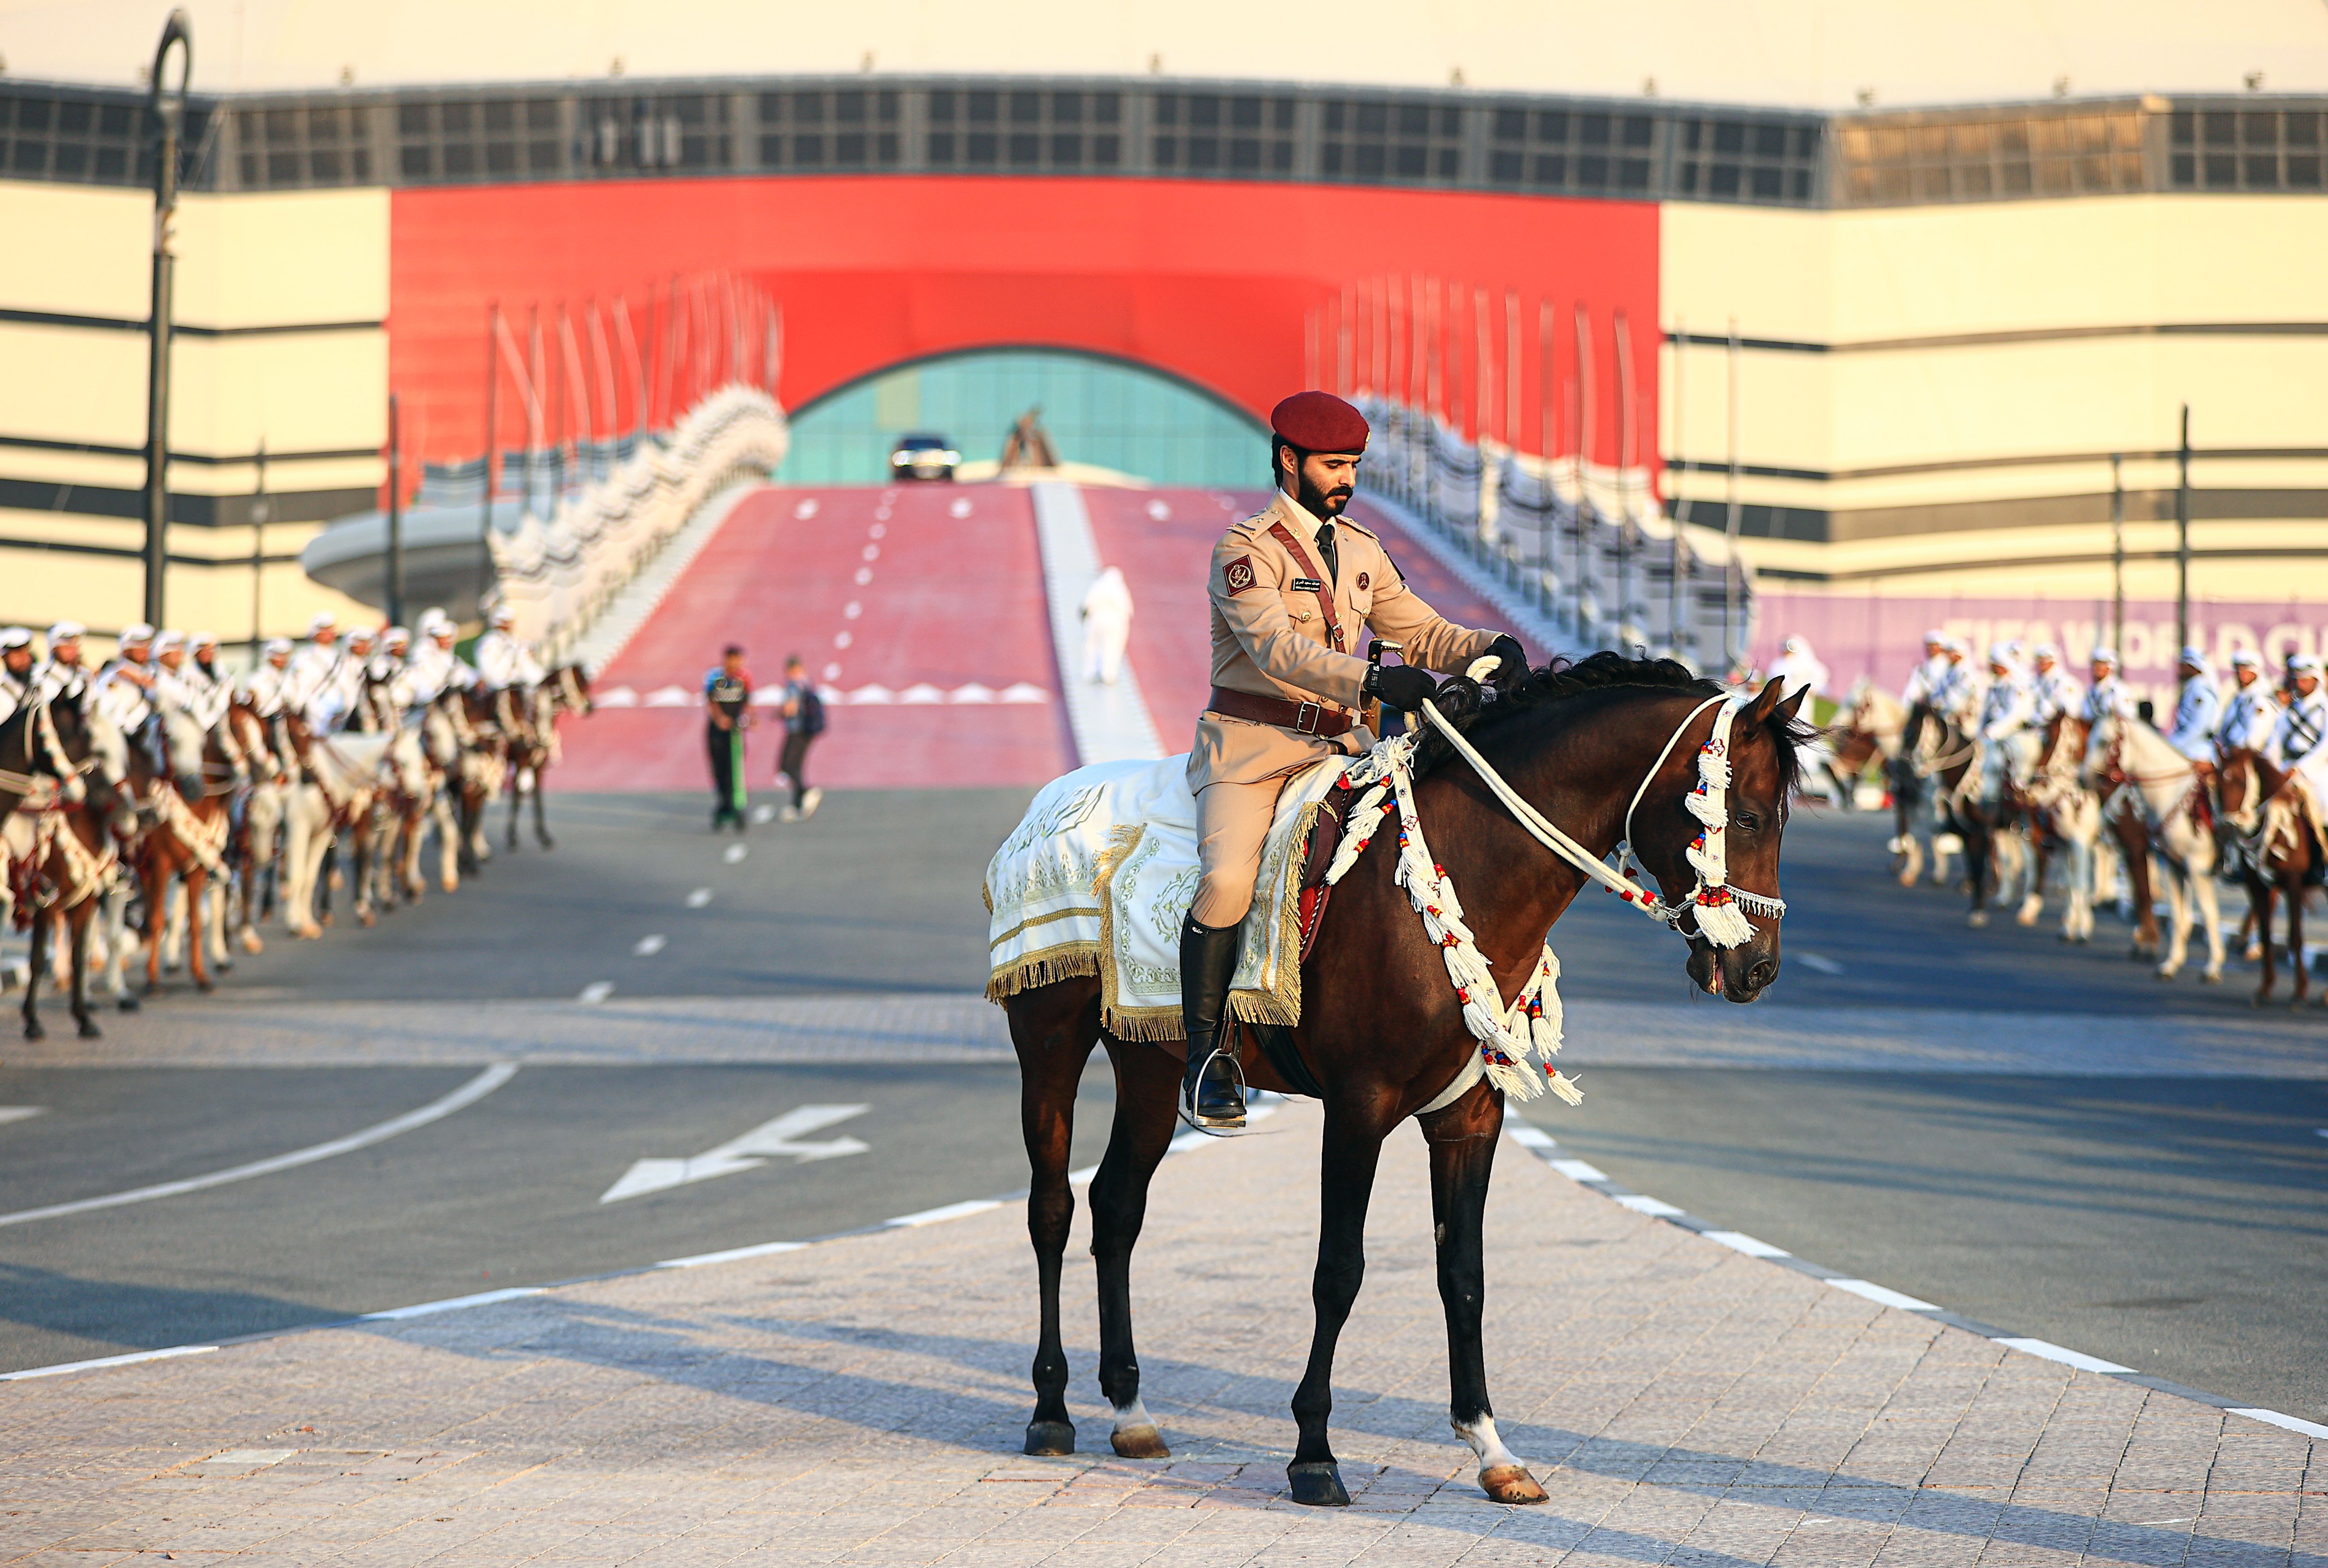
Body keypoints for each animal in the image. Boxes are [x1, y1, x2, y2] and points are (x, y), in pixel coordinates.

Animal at [996, 656, 1797, 1498]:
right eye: (1745, 817)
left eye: (1783, 818)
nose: (1758, 968)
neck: (1461, 870)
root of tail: (1050, 803)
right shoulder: (1358, 1109)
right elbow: (1338, 1270)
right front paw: (1314, 1450)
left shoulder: (1469, 1119)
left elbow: (1463, 1274)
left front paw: (1490, 1445)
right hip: (1049, 1044)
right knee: (1051, 1209)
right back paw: (1050, 1408)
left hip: (1150, 1066)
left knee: (1117, 1207)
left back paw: (1130, 1409)